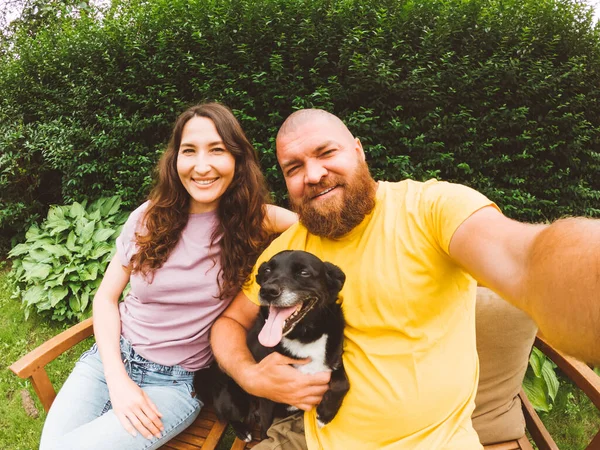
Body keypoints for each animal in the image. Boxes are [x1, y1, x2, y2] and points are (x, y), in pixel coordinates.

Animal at [206, 251, 350, 442]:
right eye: (267, 270)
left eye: (304, 272)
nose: (267, 291)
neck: (303, 338)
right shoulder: (268, 392)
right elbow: (265, 431)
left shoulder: (334, 362)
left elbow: (343, 383)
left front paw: (325, 415)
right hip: (230, 398)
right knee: (228, 417)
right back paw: (244, 432)